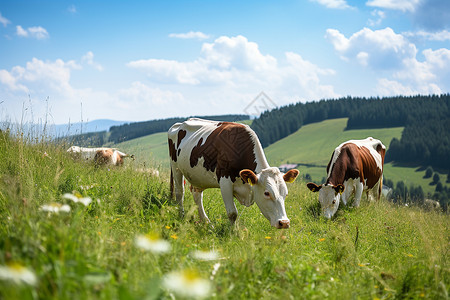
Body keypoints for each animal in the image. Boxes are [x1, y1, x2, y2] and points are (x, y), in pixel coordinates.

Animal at [168, 118, 298, 229]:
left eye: (285, 194)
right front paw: (233, 233)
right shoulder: (225, 181)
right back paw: (182, 216)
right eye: (267, 193)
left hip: (197, 177)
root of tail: (180, 123)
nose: (284, 223)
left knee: (197, 195)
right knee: (180, 193)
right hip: (175, 166)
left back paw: (207, 223)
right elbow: (232, 213)